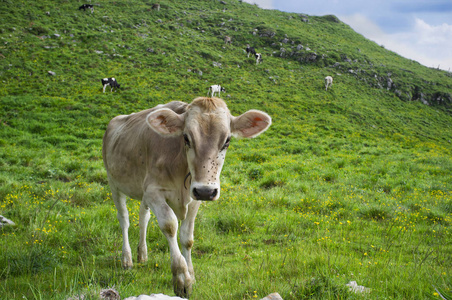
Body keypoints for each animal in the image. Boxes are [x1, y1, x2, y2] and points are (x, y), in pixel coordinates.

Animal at [103, 96, 272, 298]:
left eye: (227, 141)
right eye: (186, 137)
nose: (206, 191)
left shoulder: (193, 197)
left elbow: (187, 236)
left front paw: (191, 274)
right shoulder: (154, 191)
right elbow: (170, 226)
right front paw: (181, 278)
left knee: (143, 217)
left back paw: (142, 255)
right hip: (114, 184)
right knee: (124, 219)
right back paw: (126, 259)